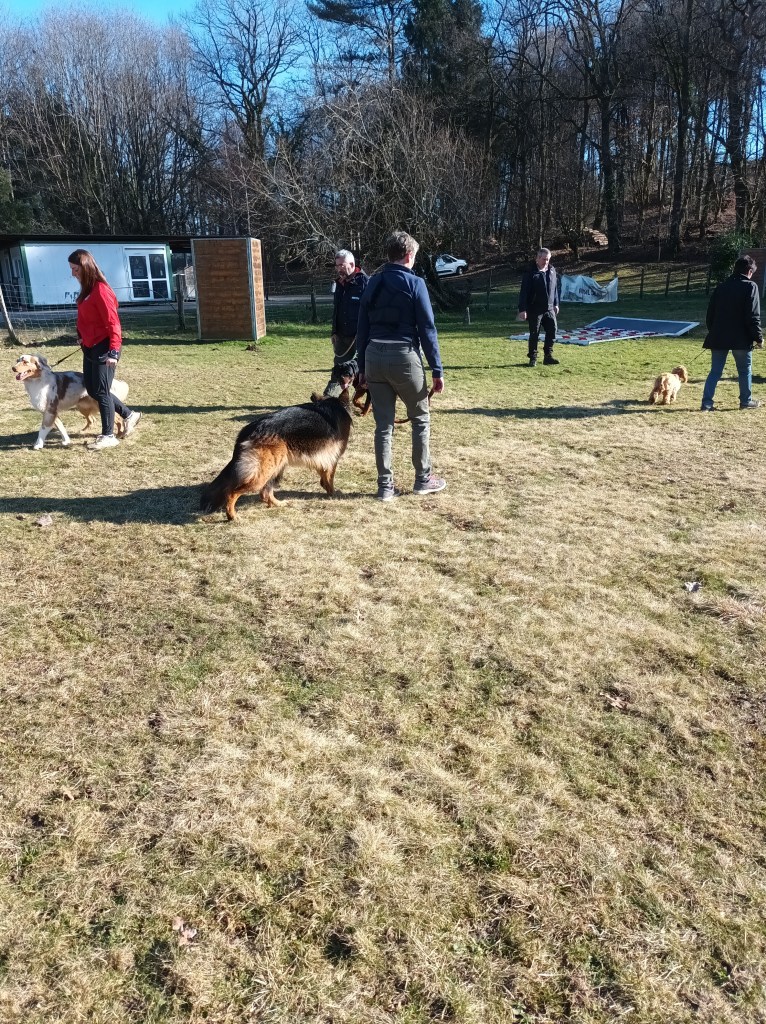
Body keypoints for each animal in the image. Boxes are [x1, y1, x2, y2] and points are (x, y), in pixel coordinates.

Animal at [200, 392, 353, 520]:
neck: (334, 404)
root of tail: (249, 429)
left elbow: (324, 475)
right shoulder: (333, 457)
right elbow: (329, 477)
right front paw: (333, 493)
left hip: (275, 468)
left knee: (265, 493)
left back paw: (278, 504)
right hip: (263, 474)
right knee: (232, 493)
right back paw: (232, 516)